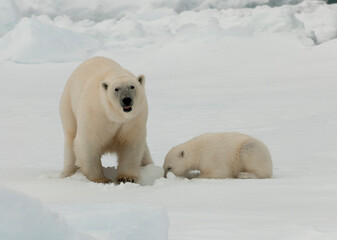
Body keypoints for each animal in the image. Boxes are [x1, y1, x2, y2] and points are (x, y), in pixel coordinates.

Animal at [59, 56, 152, 184]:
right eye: (116, 89)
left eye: (132, 86)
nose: (126, 100)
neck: (116, 115)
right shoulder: (96, 115)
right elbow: (89, 142)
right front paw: (101, 179)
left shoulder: (133, 120)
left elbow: (130, 143)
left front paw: (126, 177)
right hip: (68, 108)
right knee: (70, 140)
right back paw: (68, 173)